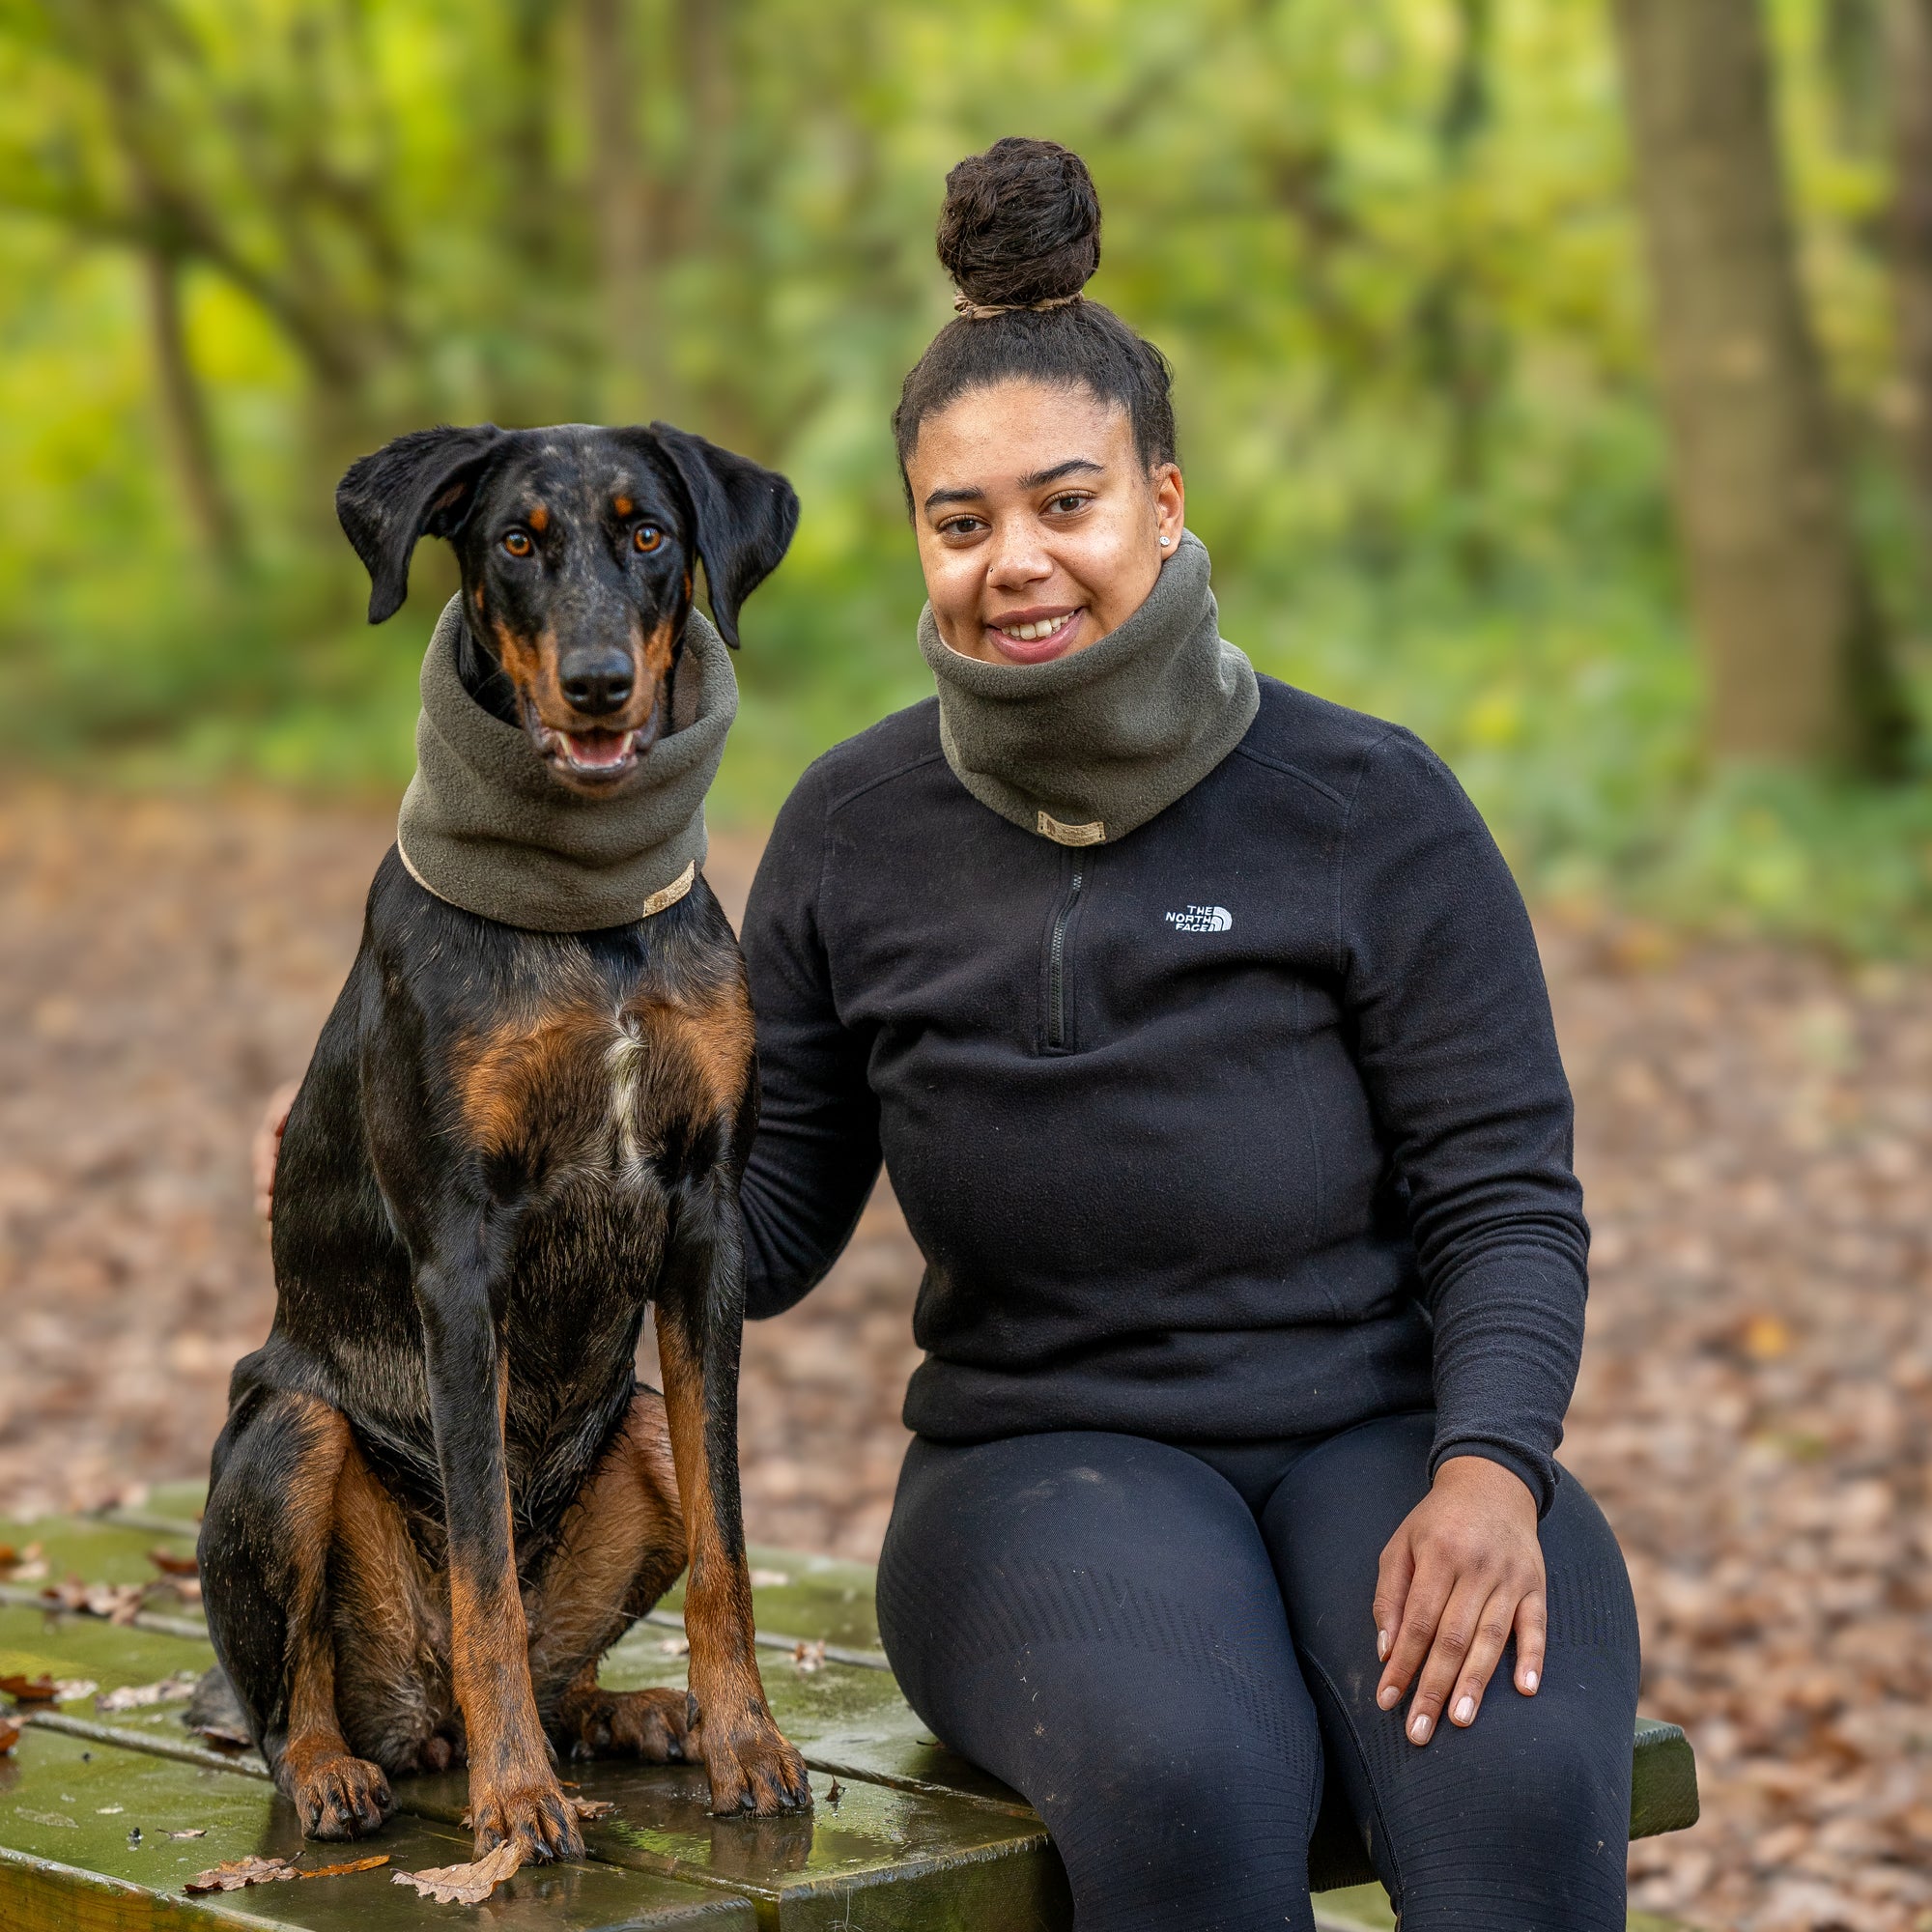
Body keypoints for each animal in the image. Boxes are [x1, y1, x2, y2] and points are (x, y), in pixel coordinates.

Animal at [190, 419, 808, 1855]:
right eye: (516, 541)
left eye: (650, 533)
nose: (596, 688)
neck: (587, 910)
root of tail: (416, 1715)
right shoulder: (462, 1261)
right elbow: (482, 1573)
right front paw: (519, 1801)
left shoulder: (705, 1224)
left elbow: (730, 1548)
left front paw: (748, 1744)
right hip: (284, 1434)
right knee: (300, 1696)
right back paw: (354, 1768)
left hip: (641, 1423)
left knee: (556, 1648)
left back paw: (634, 1714)